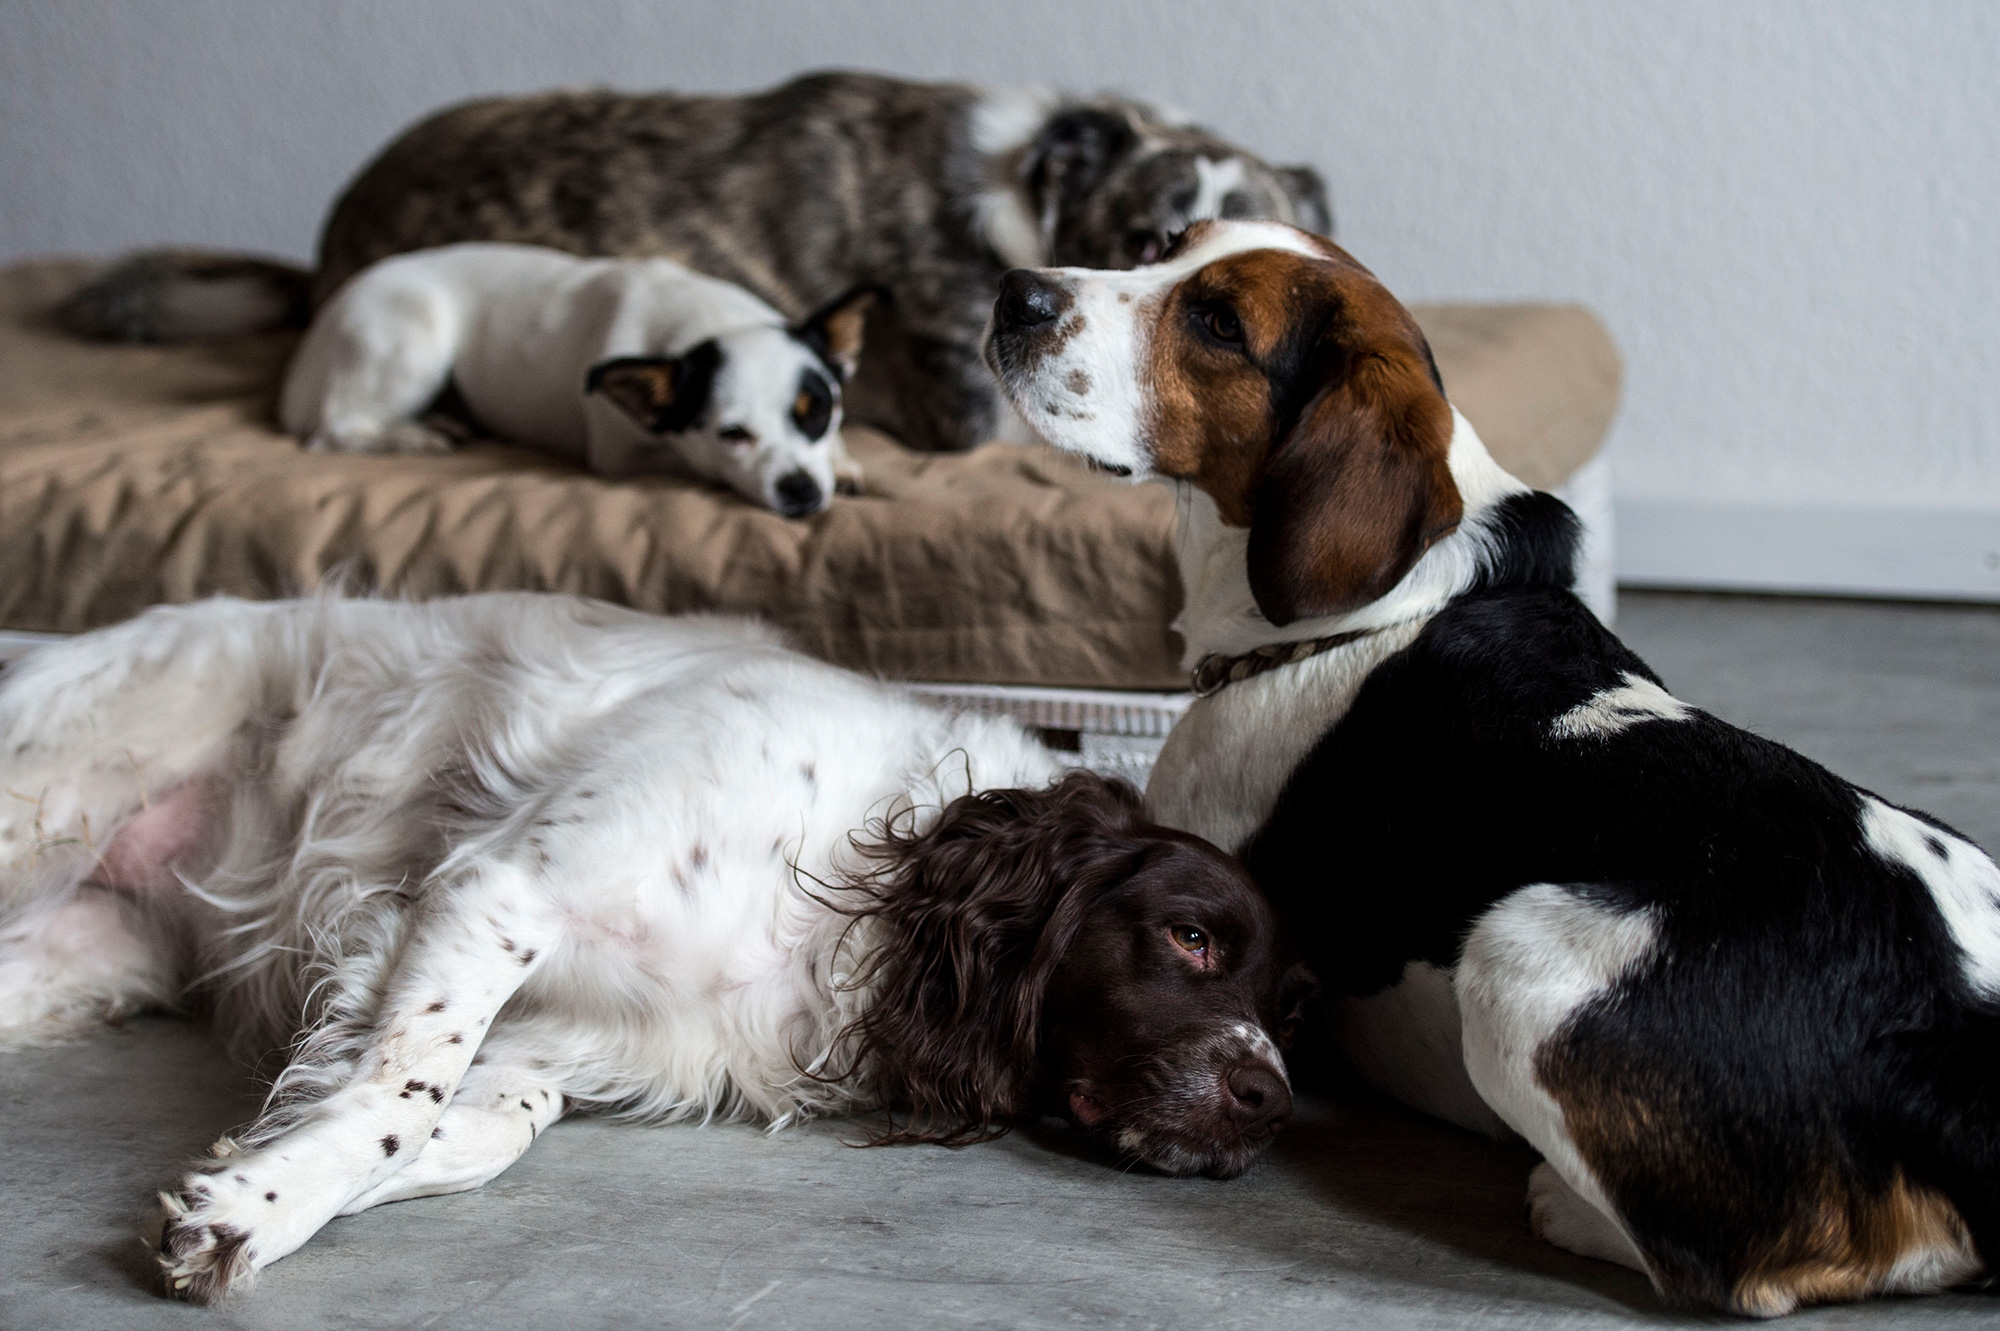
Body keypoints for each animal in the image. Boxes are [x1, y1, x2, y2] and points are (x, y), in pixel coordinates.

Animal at [0, 591, 1304, 1295]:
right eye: (1188, 936)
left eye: (1287, 1007)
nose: (1271, 1102)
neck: (859, 895)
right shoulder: (498, 892)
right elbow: (399, 1105)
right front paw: (251, 1213)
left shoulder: (545, 1029)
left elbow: (481, 1127)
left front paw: (259, 1175)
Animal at [992, 217, 2000, 1303]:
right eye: (1160, 246)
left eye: (1219, 322)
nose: (1014, 294)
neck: (1383, 603)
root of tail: (1955, 1039)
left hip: (1513, 952)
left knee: (1731, 1271)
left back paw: (1563, 1204)